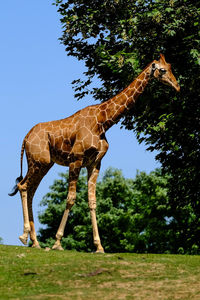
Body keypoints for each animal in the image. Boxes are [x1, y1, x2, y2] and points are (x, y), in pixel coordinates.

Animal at [8, 53, 180, 251]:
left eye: (171, 67)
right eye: (163, 70)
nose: (177, 86)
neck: (103, 121)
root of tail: (25, 138)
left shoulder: (95, 163)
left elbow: (92, 201)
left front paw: (99, 246)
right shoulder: (75, 159)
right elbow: (71, 198)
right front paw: (58, 243)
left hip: (44, 163)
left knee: (30, 190)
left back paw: (35, 242)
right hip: (38, 161)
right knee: (23, 186)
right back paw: (24, 236)